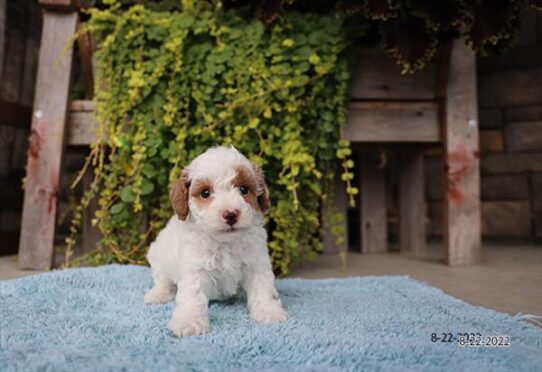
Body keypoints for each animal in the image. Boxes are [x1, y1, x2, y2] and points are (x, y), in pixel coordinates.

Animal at [144, 145, 288, 338]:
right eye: (205, 193)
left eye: (244, 189)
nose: (231, 214)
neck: (225, 242)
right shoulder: (194, 268)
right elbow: (193, 296)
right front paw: (189, 321)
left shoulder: (256, 263)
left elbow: (261, 288)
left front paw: (268, 311)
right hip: (158, 256)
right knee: (162, 280)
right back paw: (157, 295)